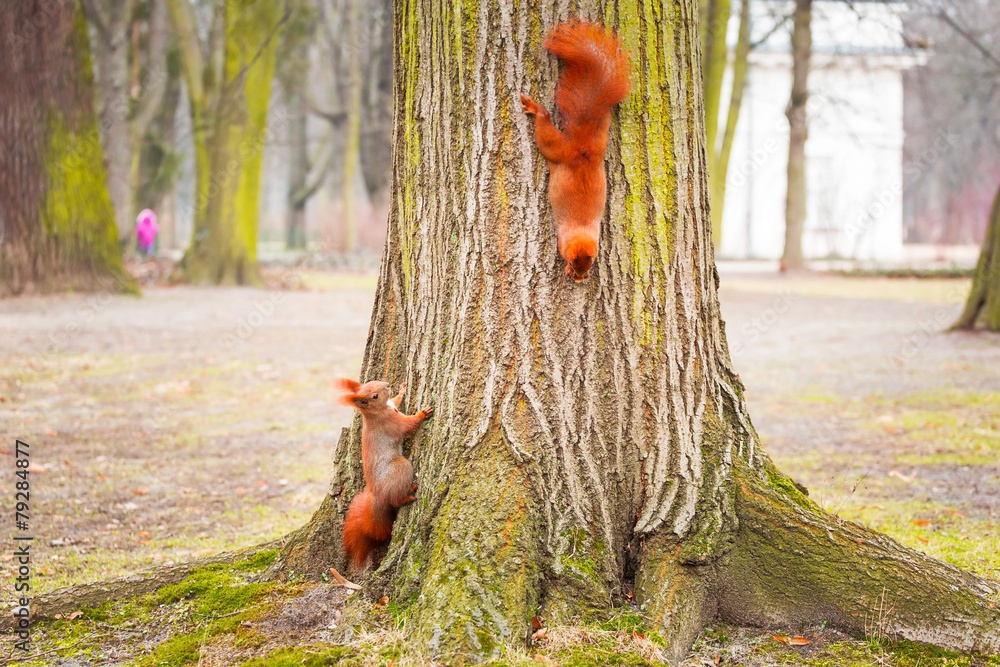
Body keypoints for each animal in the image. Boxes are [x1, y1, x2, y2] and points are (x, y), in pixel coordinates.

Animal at [336, 378, 434, 572]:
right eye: (374, 396)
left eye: (371, 382)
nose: (388, 384)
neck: (377, 412)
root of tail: (377, 495)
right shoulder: (392, 423)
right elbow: (407, 425)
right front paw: (422, 414)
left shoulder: (392, 406)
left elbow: (396, 400)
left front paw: (401, 391)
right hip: (401, 468)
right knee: (395, 499)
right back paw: (408, 494)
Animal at [520, 20, 628, 282]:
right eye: (570, 261)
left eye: (591, 262)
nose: (579, 277)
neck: (580, 231)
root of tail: (580, 147)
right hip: (555, 149)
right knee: (545, 125)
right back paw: (536, 109)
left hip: (598, 143)